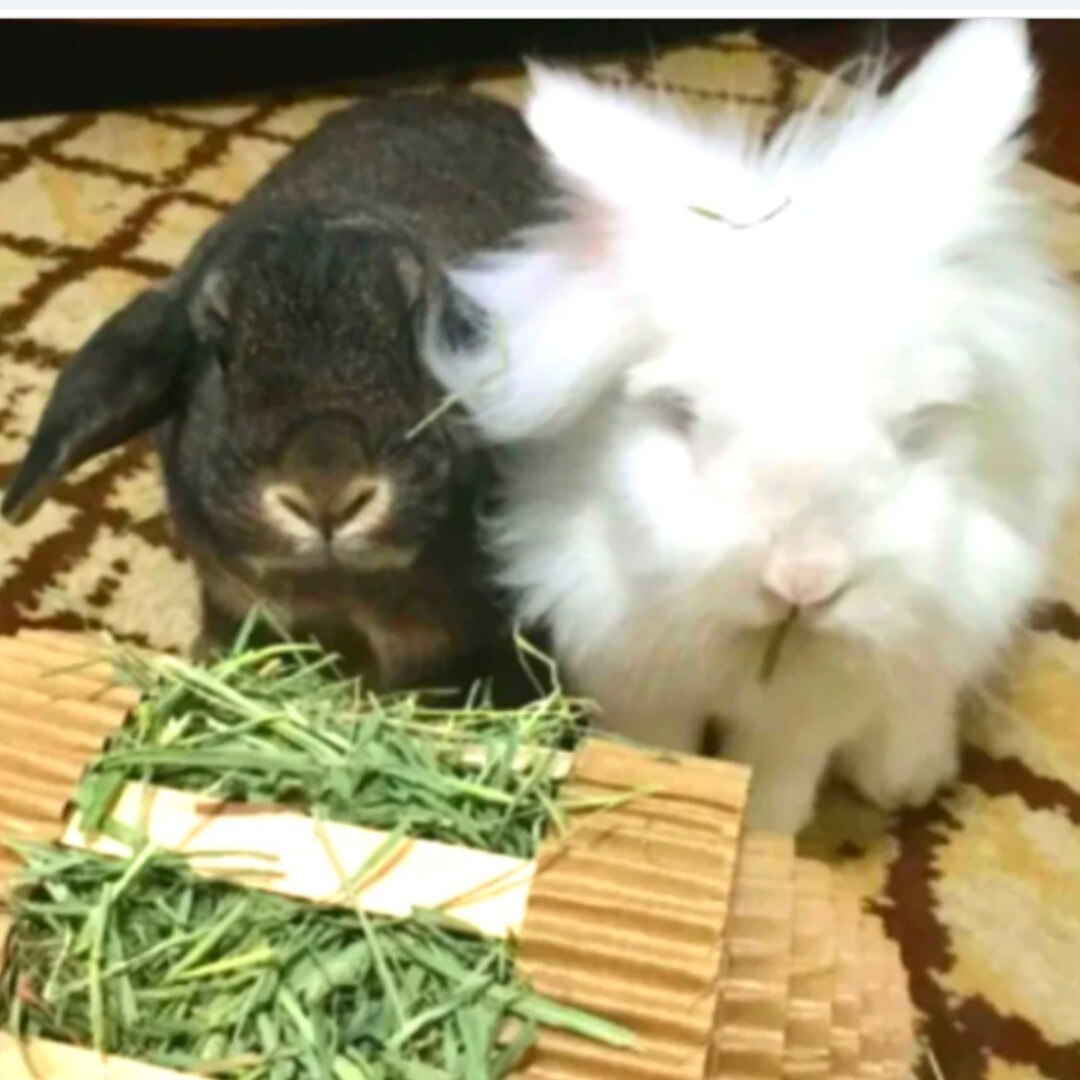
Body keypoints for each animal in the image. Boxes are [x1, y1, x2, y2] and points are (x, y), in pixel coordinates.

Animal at [431, 20, 1080, 831]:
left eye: (913, 429)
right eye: (681, 414)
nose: (803, 583)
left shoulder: (806, 717)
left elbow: (773, 786)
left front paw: (767, 840)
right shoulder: (629, 667)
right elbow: (656, 752)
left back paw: (905, 778)